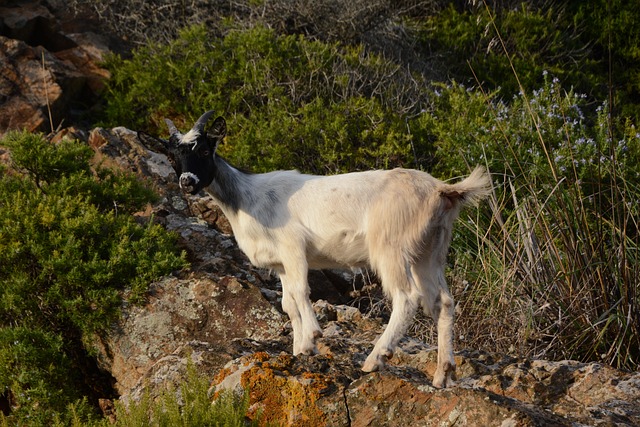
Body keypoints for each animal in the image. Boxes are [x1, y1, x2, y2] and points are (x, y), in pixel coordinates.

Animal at [139, 109, 490, 388]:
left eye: (203, 149)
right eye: (173, 155)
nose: (186, 182)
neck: (247, 199)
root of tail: (441, 189)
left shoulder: (294, 248)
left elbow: (301, 293)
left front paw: (311, 340)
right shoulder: (280, 265)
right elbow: (288, 304)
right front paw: (297, 350)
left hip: (391, 248)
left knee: (407, 297)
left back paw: (374, 359)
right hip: (429, 251)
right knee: (443, 301)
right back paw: (443, 373)